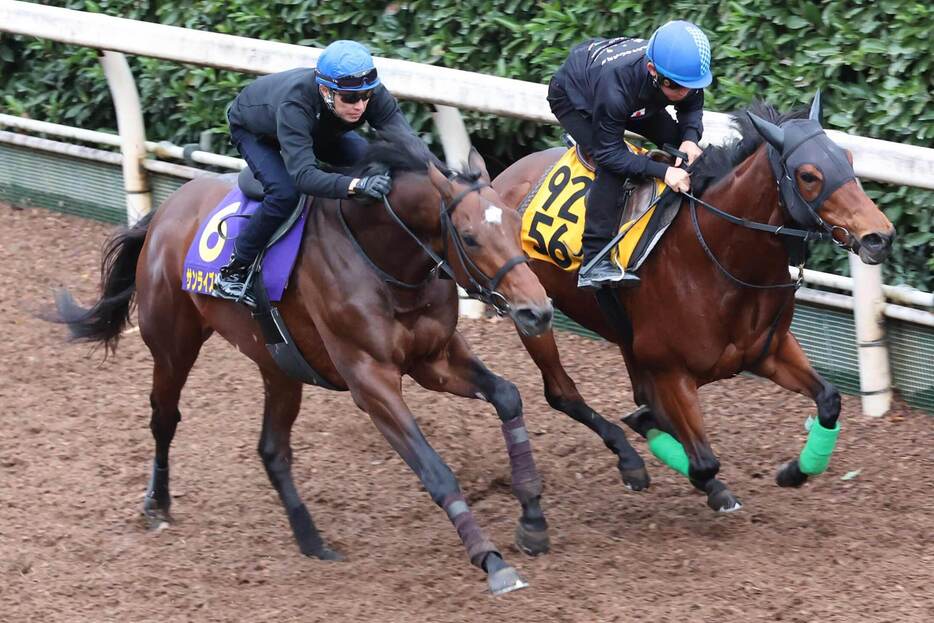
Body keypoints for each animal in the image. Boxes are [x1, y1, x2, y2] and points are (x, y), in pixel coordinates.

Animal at [51, 140, 556, 596]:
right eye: (469, 237)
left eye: (516, 224)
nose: (536, 312)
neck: (382, 261)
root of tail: (163, 214)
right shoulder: (370, 380)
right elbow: (436, 471)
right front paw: (491, 561)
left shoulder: (434, 359)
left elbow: (508, 395)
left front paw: (532, 518)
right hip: (173, 343)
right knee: (164, 417)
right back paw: (156, 506)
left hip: (278, 363)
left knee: (272, 450)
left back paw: (311, 539)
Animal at [494, 96, 896, 512]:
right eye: (809, 175)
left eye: (848, 158)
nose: (879, 236)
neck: (716, 262)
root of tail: (500, 178)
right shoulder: (671, 370)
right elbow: (703, 462)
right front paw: (709, 483)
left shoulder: (769, 351)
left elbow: (829, 400)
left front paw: (793, 471)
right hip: (532, 311)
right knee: (561, 392)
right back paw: (630, 461)